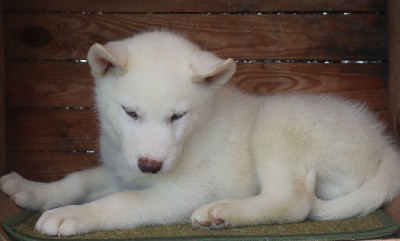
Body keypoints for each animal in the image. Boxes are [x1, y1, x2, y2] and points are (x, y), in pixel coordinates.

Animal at [0, 29, 400, 235]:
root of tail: (384, 147)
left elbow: (124, 201)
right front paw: (32, 191)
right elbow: (79, 179)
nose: (150, 166)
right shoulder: (122, 169)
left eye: (178, 116)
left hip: (278, 123)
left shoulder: (182, 193)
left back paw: (222, 212)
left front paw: (72, 215)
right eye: (130, 113)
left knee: (293, 201)